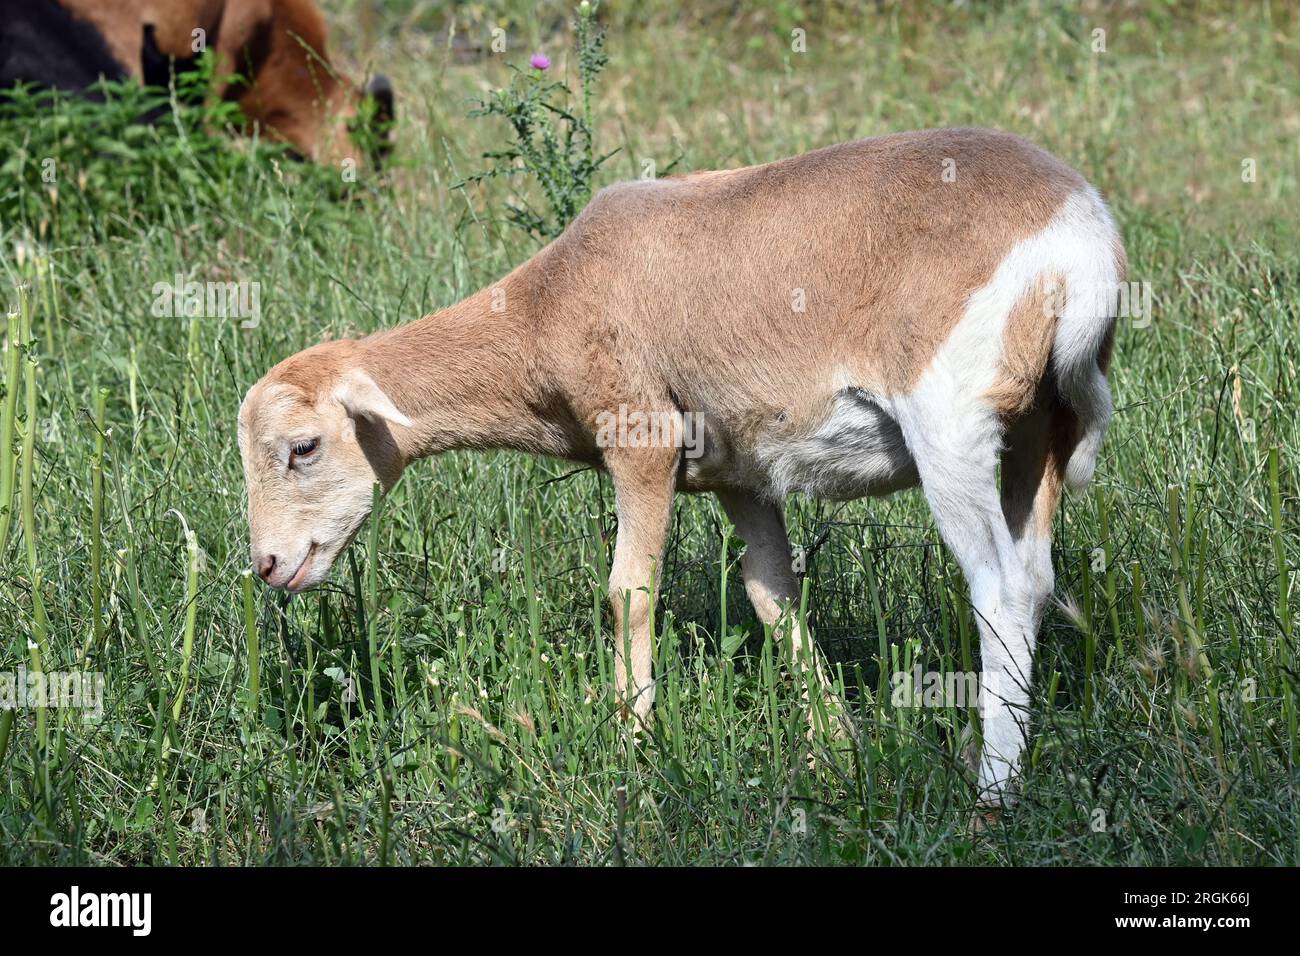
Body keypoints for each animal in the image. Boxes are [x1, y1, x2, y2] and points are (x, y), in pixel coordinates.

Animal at [238, 128, 1125, 805]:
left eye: (303, 447)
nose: (269, 565)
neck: (542, 310)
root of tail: (1082, 243)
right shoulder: (740, 471)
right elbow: (771, 595)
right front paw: (833, 751)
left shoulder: (642, 435)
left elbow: (629, 589)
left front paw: (632, 744)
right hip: (1045, 425)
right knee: (1036, 578)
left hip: (950, 421)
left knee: (1000, 590)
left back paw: (993, 793)